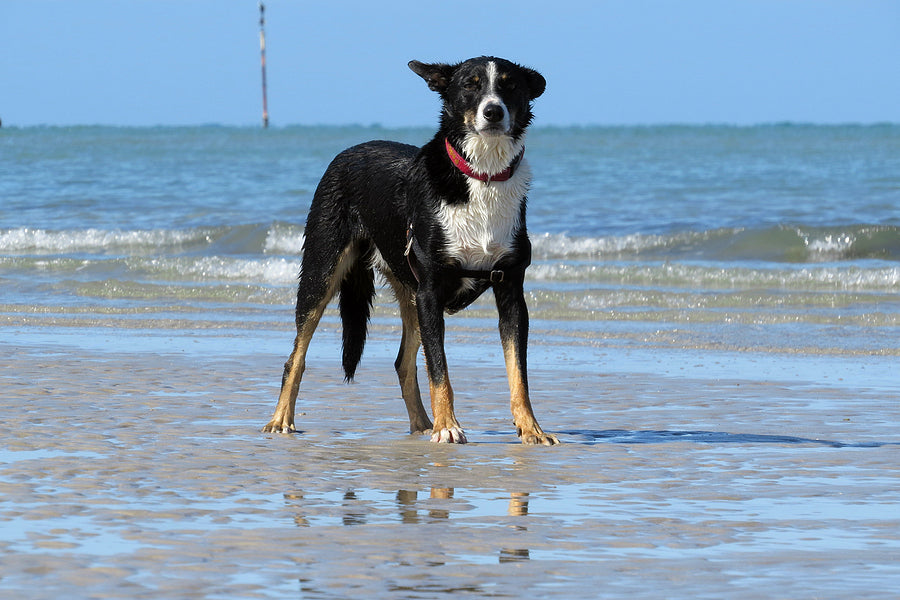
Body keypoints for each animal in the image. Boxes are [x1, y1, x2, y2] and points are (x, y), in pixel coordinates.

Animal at [262, 57, 556, 446]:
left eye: (509, 85)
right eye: (470, 84)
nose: (493, 112)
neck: (482, 176)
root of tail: (350, 150)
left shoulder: (510, 291)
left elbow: (518, 374)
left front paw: (531, 429)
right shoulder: (431, 291)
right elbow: (439, 370)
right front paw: (448, 426)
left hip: (410, 294)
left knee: (403, 363)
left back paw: (421, 424)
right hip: (322, 272)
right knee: (296, 355)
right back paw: (281, 419)